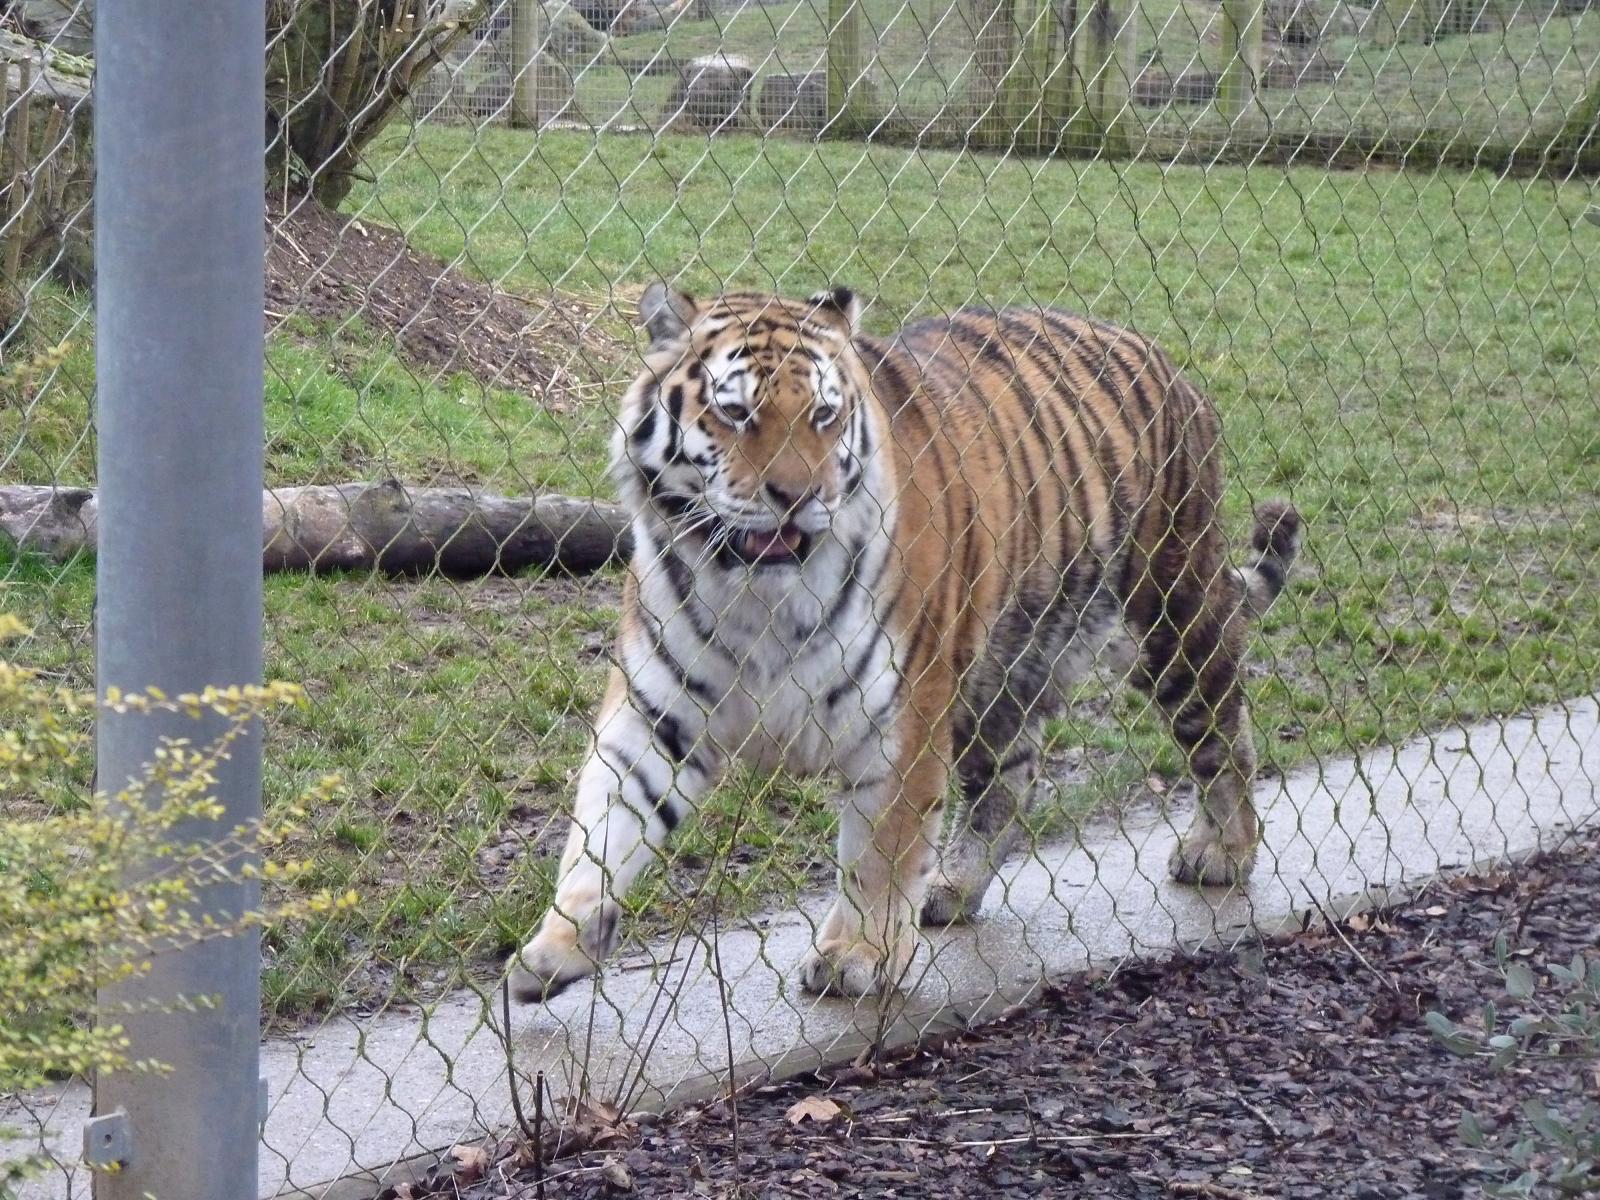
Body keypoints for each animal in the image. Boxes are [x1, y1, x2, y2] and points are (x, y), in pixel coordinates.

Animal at [507, 283, 1302, 1003]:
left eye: (824, 415)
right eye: (736, 413)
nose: (797, 496)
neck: (755, 593)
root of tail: (1161, 357)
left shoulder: (903, 713)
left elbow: (881, 850)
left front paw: (857, 957)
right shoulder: (657, 712)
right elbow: (603, 826)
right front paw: (556, 947)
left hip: (1171, 615)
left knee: (1223, 732)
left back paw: (1221, 852)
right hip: (1009, 657)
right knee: (1011, 772)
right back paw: (954, 887)